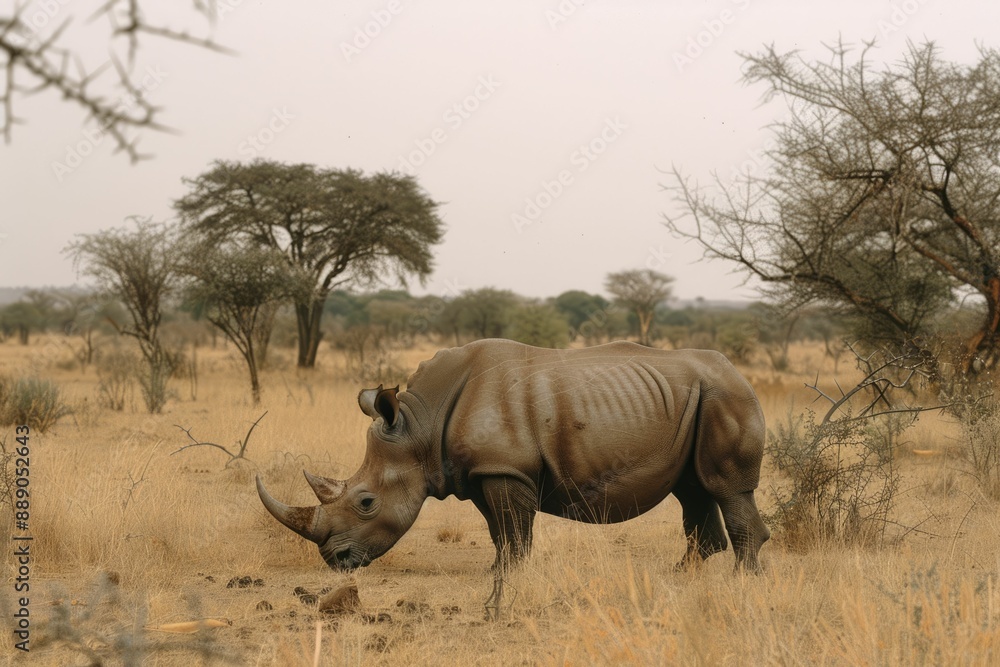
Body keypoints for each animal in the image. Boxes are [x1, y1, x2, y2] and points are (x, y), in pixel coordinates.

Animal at [257, 339, 770, 614]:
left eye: (366, 503)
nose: (335, 560)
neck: (421, 426)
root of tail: (740, 374)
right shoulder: (484, 472)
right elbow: (499, 530)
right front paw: (497, 570)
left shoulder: (508, 469)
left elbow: (515, 529)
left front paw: (510, 580)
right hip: (698, 400)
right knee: (693, 491)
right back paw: (682, 576)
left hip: (725, 396)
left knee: (725, 488)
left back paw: (742, 581)